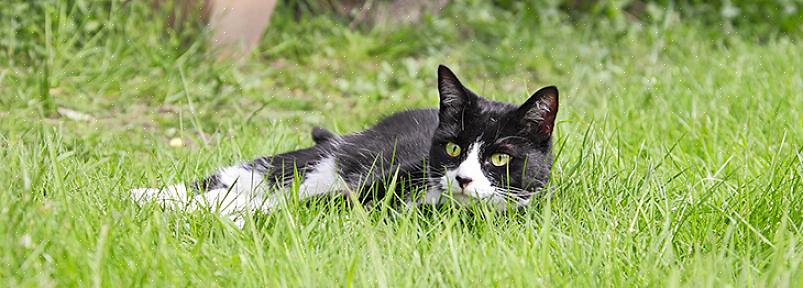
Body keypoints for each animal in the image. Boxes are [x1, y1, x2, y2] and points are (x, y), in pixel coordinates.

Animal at [132, 65, 560, 225]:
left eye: (500, 157)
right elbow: (296, 203)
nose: (463, 179)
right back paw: (148, 195)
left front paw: (237, 214)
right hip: (324, 157)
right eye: (453, 149)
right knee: (250, 175)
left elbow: (299, 208)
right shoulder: (381, 183)